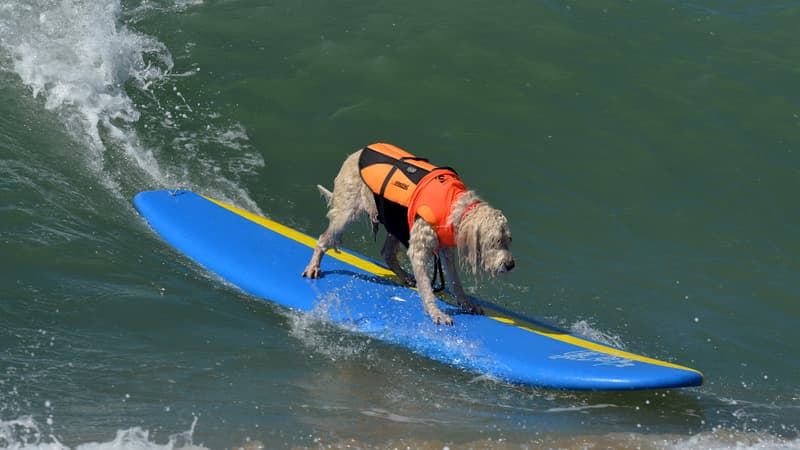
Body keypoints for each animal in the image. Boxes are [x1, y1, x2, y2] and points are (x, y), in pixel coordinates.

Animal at [304, 143, 516, 324]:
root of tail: (355, 155)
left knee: (387, 253)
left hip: (394, 219)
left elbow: (455, 281)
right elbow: (426, 285)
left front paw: (467, 304)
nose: (510, 265)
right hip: (347, 212)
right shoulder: (421, 247)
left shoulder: (445, 248)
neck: (454, 205)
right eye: (494, 241)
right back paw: (313, 266)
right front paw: (436, 312)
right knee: (323, 239)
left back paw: (404, 276)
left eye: (508, 240)